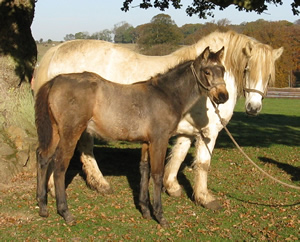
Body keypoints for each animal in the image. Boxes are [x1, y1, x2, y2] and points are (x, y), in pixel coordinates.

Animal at [34, 30, 282, 210]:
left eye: (269, 75)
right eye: (247, 68)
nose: (253, 108)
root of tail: (56, 50)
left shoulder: (186, 131)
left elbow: (178, 156)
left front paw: (171, 187)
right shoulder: (209, 133)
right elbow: (203, 164)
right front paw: (205, 198)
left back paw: (94, 185)